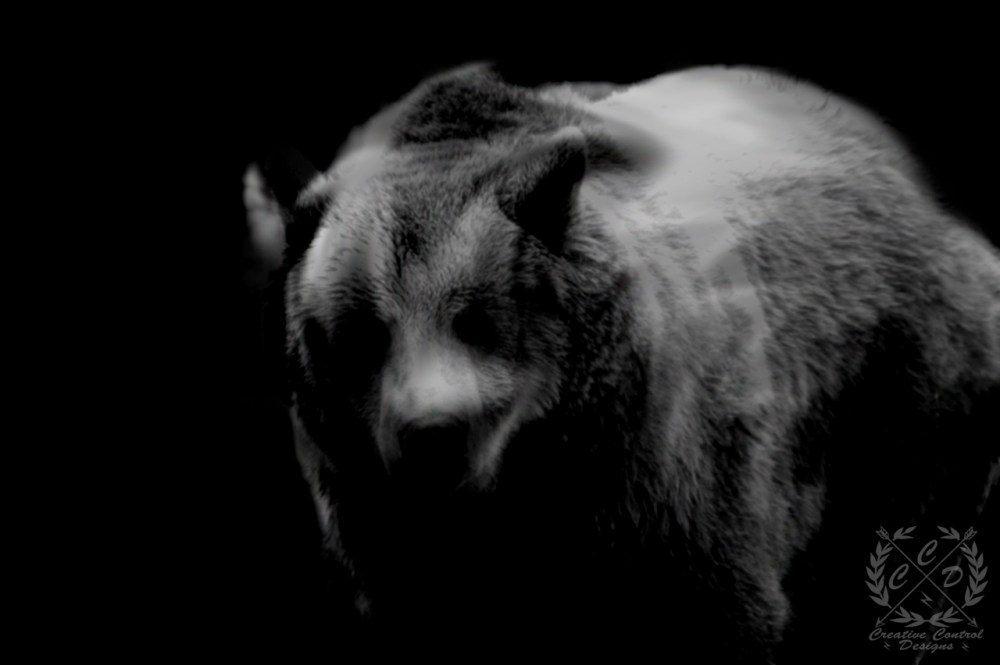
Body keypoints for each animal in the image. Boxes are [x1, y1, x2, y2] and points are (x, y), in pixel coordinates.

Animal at [244, 64, 1000, 662]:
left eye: (477, 319)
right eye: (364, 332)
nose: (432, 435)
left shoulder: (663, 499)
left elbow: (722, 613)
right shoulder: (387, 536)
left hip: (906, 404)